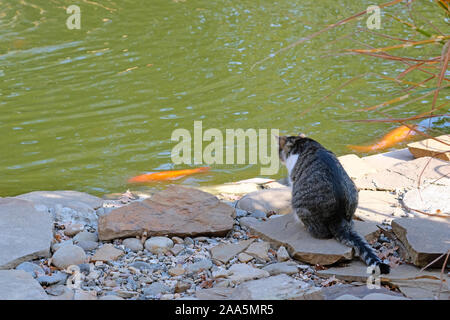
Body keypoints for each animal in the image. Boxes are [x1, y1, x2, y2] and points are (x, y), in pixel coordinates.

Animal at [278, 134, 390, 274]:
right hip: (354, 190)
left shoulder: (293, 179)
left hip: (300, 205)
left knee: (321, 233)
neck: (302, 142)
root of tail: (337, 218)